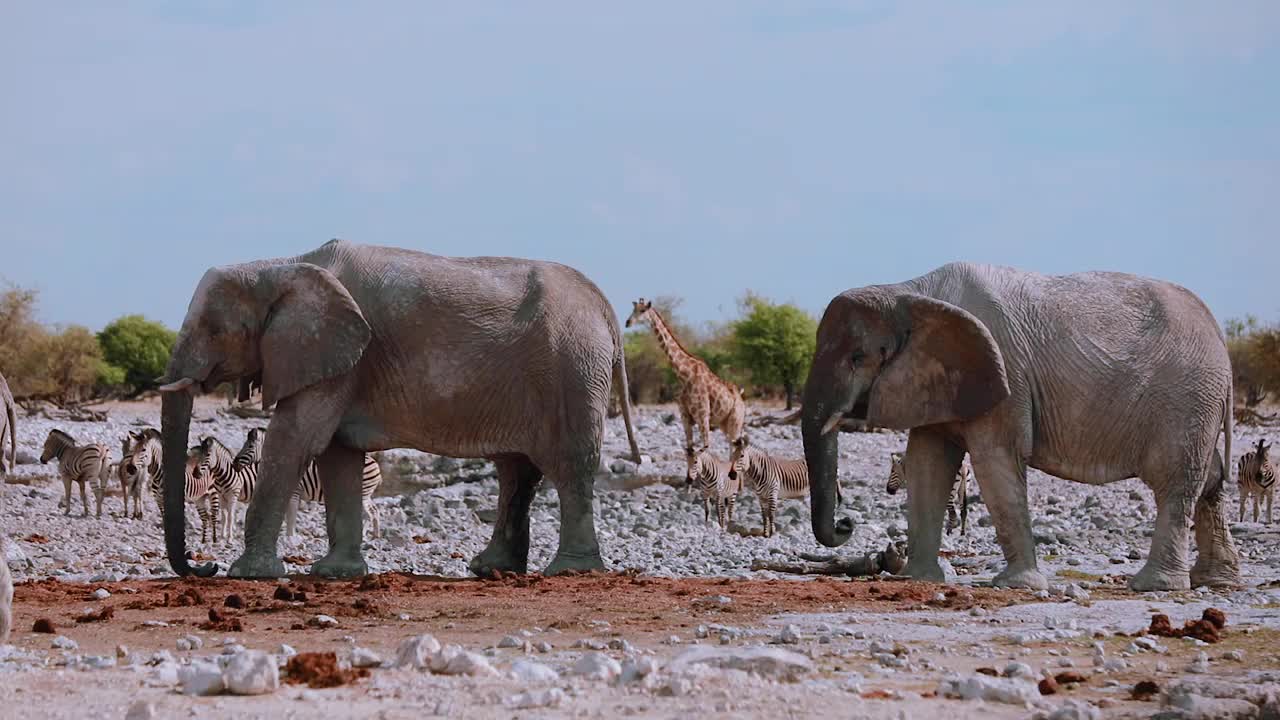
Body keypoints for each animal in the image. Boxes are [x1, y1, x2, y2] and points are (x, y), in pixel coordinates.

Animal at [157, 237, 640, 576]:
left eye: (214, 329)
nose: (204, 565)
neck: (279, 266)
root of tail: (603, 304)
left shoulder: (340, 357)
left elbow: (295, 439)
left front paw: (247, 575)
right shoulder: (339, 359)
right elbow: (337, 455)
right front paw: (335, 575)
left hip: (573, 368)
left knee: (568, 465)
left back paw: (570, 570)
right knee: (516, 470)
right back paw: (491, 569)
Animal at [624, 297, 747, 453]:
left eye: (642, 310)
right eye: (633, 309)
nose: (627, 322)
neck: (685, 375)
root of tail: (742, 399)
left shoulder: (703, 416)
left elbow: (704, 449)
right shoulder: (685, 416)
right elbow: (690, 449)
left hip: (735, 423)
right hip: (724, 424)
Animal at [798, 262, 1239, 589]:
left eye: (858, 358)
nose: (846, 522)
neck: (908, 292)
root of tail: (1220, 337)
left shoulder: (1006, 375)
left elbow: (995, 460)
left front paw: (1019, 586)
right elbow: (927, 461)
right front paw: (918, 579)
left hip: (1187, 399)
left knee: (1175, 482)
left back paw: (1155, 586)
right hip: (1199, 402)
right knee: (1210, 479)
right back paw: (1215, 581)